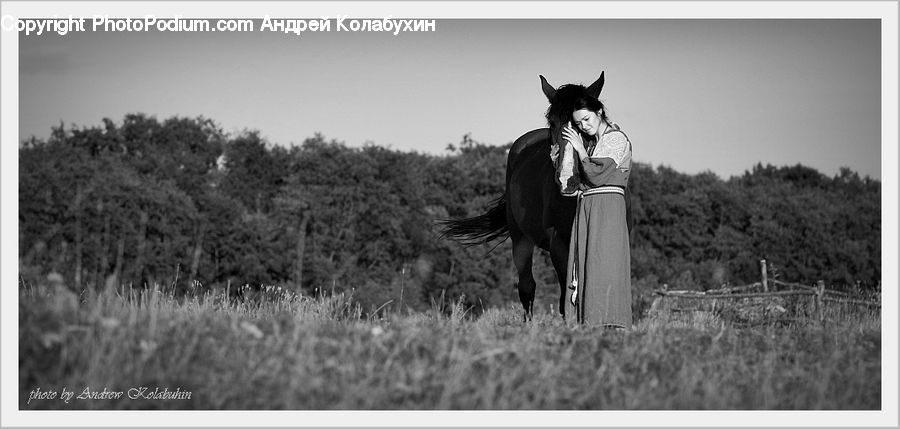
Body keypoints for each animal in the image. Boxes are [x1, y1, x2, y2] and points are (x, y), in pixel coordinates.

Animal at [438, 72, 633, 322]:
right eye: (553, 122)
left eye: (581, 125)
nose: (567, 179)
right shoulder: (559, 246)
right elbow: (564, 300)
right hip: (520, 238)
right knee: (527, 288)